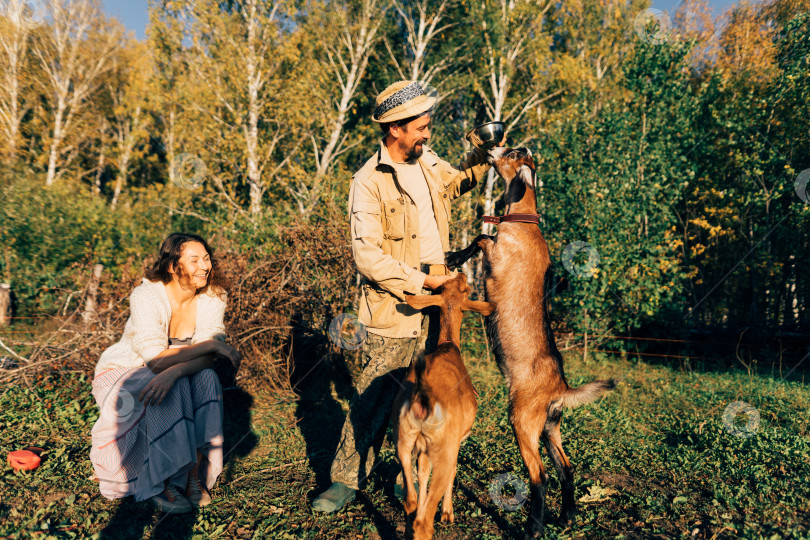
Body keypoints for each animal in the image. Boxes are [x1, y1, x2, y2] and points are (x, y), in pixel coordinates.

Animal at [388, 274, 490, 540]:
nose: (461, 274)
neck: (449, 344)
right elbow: (453, 470)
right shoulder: (457, 440)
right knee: (427, 516)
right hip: (444, 444)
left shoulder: (423, 447)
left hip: (403, 438)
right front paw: (447, 512)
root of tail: (423, 395)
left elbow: (423, 472)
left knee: (410, 500)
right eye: (467, 289)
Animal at [442, 148, 612, 540]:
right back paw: (566, 517)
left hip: (522, 422)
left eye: (511, 154)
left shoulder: (496, 259)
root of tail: (561, 388)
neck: (524, 222)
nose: (492, 149)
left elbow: (481, 236)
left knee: (540, 476)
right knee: (566, 468)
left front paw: (454, 256)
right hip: (550, 430)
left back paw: (533, 527)